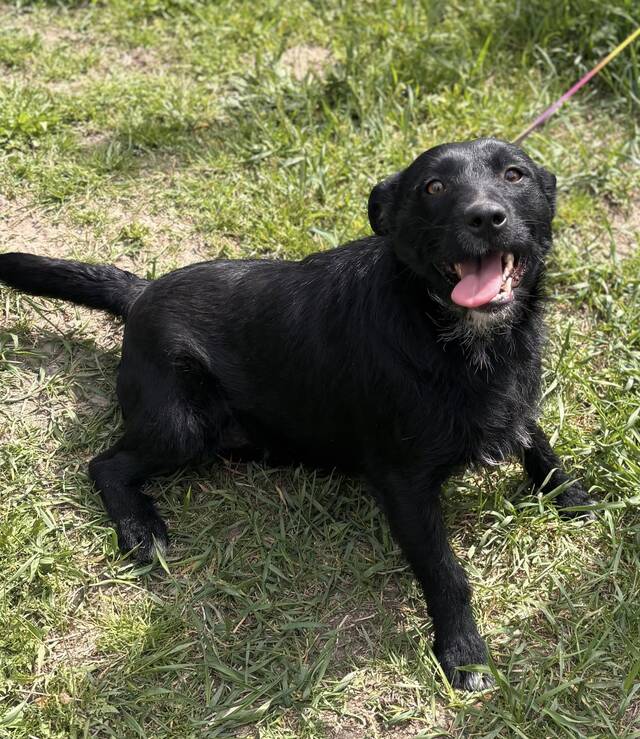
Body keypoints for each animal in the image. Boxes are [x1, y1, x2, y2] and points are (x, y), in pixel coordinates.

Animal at [0, 137, 594, 690]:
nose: (486, 216)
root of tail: (142, 292)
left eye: (514, 174)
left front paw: (572, 497)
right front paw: (465, 654)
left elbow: (537, 440)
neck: (454, 336)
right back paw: (140, 527)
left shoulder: (516, 399)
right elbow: (447, 573)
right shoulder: (404, 483)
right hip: (181, 425)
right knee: (104, 464)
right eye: (433, 187)